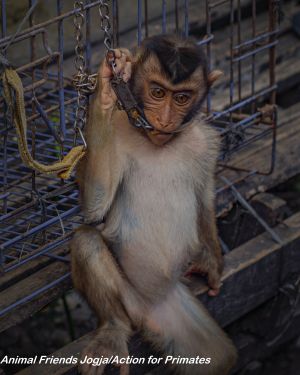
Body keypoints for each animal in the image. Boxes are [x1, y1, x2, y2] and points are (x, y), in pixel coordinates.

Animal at [71, 36, 237, 375]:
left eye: (182, 97)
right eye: (157, 92)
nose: (165, 120)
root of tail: (146, 310)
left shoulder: (206, 142)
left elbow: (204, 196)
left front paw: (212, 262)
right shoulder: (116, 135)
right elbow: (95, 209)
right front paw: (105, 91)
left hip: (172, 309)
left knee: (219, 360)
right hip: (127, 297)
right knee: (86, 242)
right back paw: (113, 328)